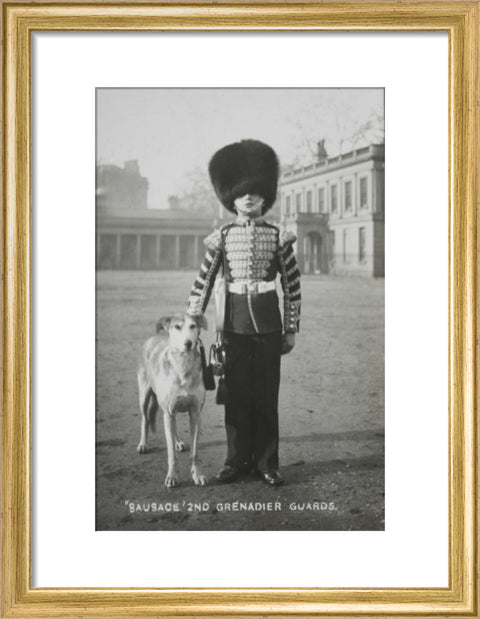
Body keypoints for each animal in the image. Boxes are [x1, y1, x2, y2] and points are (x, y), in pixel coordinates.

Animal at [136, 314, 209, 490]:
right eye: (177, 327)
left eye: (193, 326)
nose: (188, 343)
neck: (183, 365)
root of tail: (153, 338)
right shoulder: (168, 412)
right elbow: (171, 454)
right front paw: (172, 477)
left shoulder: (195, 414)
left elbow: (195, 452)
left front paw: (197, 475)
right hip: (144, 396)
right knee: (145, 419)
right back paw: (143, 444)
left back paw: (178, 442)